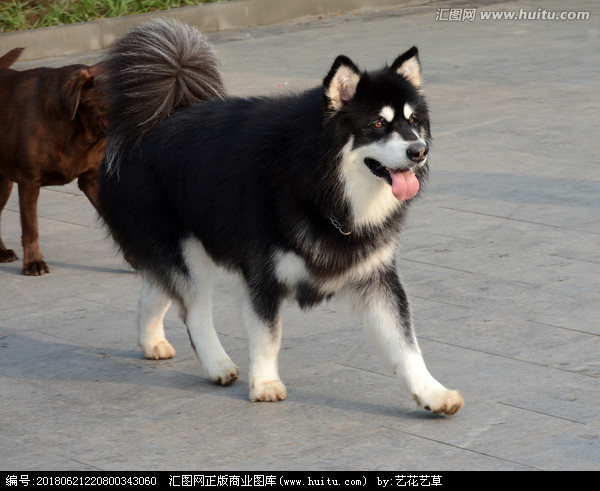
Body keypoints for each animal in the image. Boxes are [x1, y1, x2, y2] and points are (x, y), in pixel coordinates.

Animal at [98, 18, 464, 416]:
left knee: (156, 291)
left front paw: (432, 392)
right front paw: (265, 384)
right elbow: (267, 336)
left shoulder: (375, 275)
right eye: (378, 125)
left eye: (413, 121)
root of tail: (153, 120)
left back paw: (151, 342)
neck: (322, 188)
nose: (419, 151)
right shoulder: (262, 274)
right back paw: (217, 364)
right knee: (193, 311)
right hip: (185, 252)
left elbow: (406, 343)